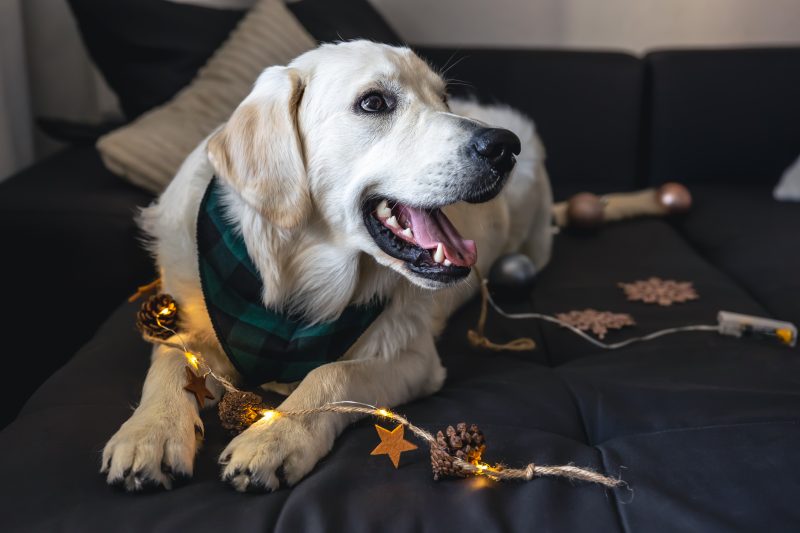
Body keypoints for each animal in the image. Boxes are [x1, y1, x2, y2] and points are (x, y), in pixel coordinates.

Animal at [100, 40, 552, 490]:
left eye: (443, 98)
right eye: (374, 102)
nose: (504, 147)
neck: (294, 275)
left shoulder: (415, 357)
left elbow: (333, 373)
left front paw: (274, 438)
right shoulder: (190, 318)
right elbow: (172, 360)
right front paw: (150, 432)